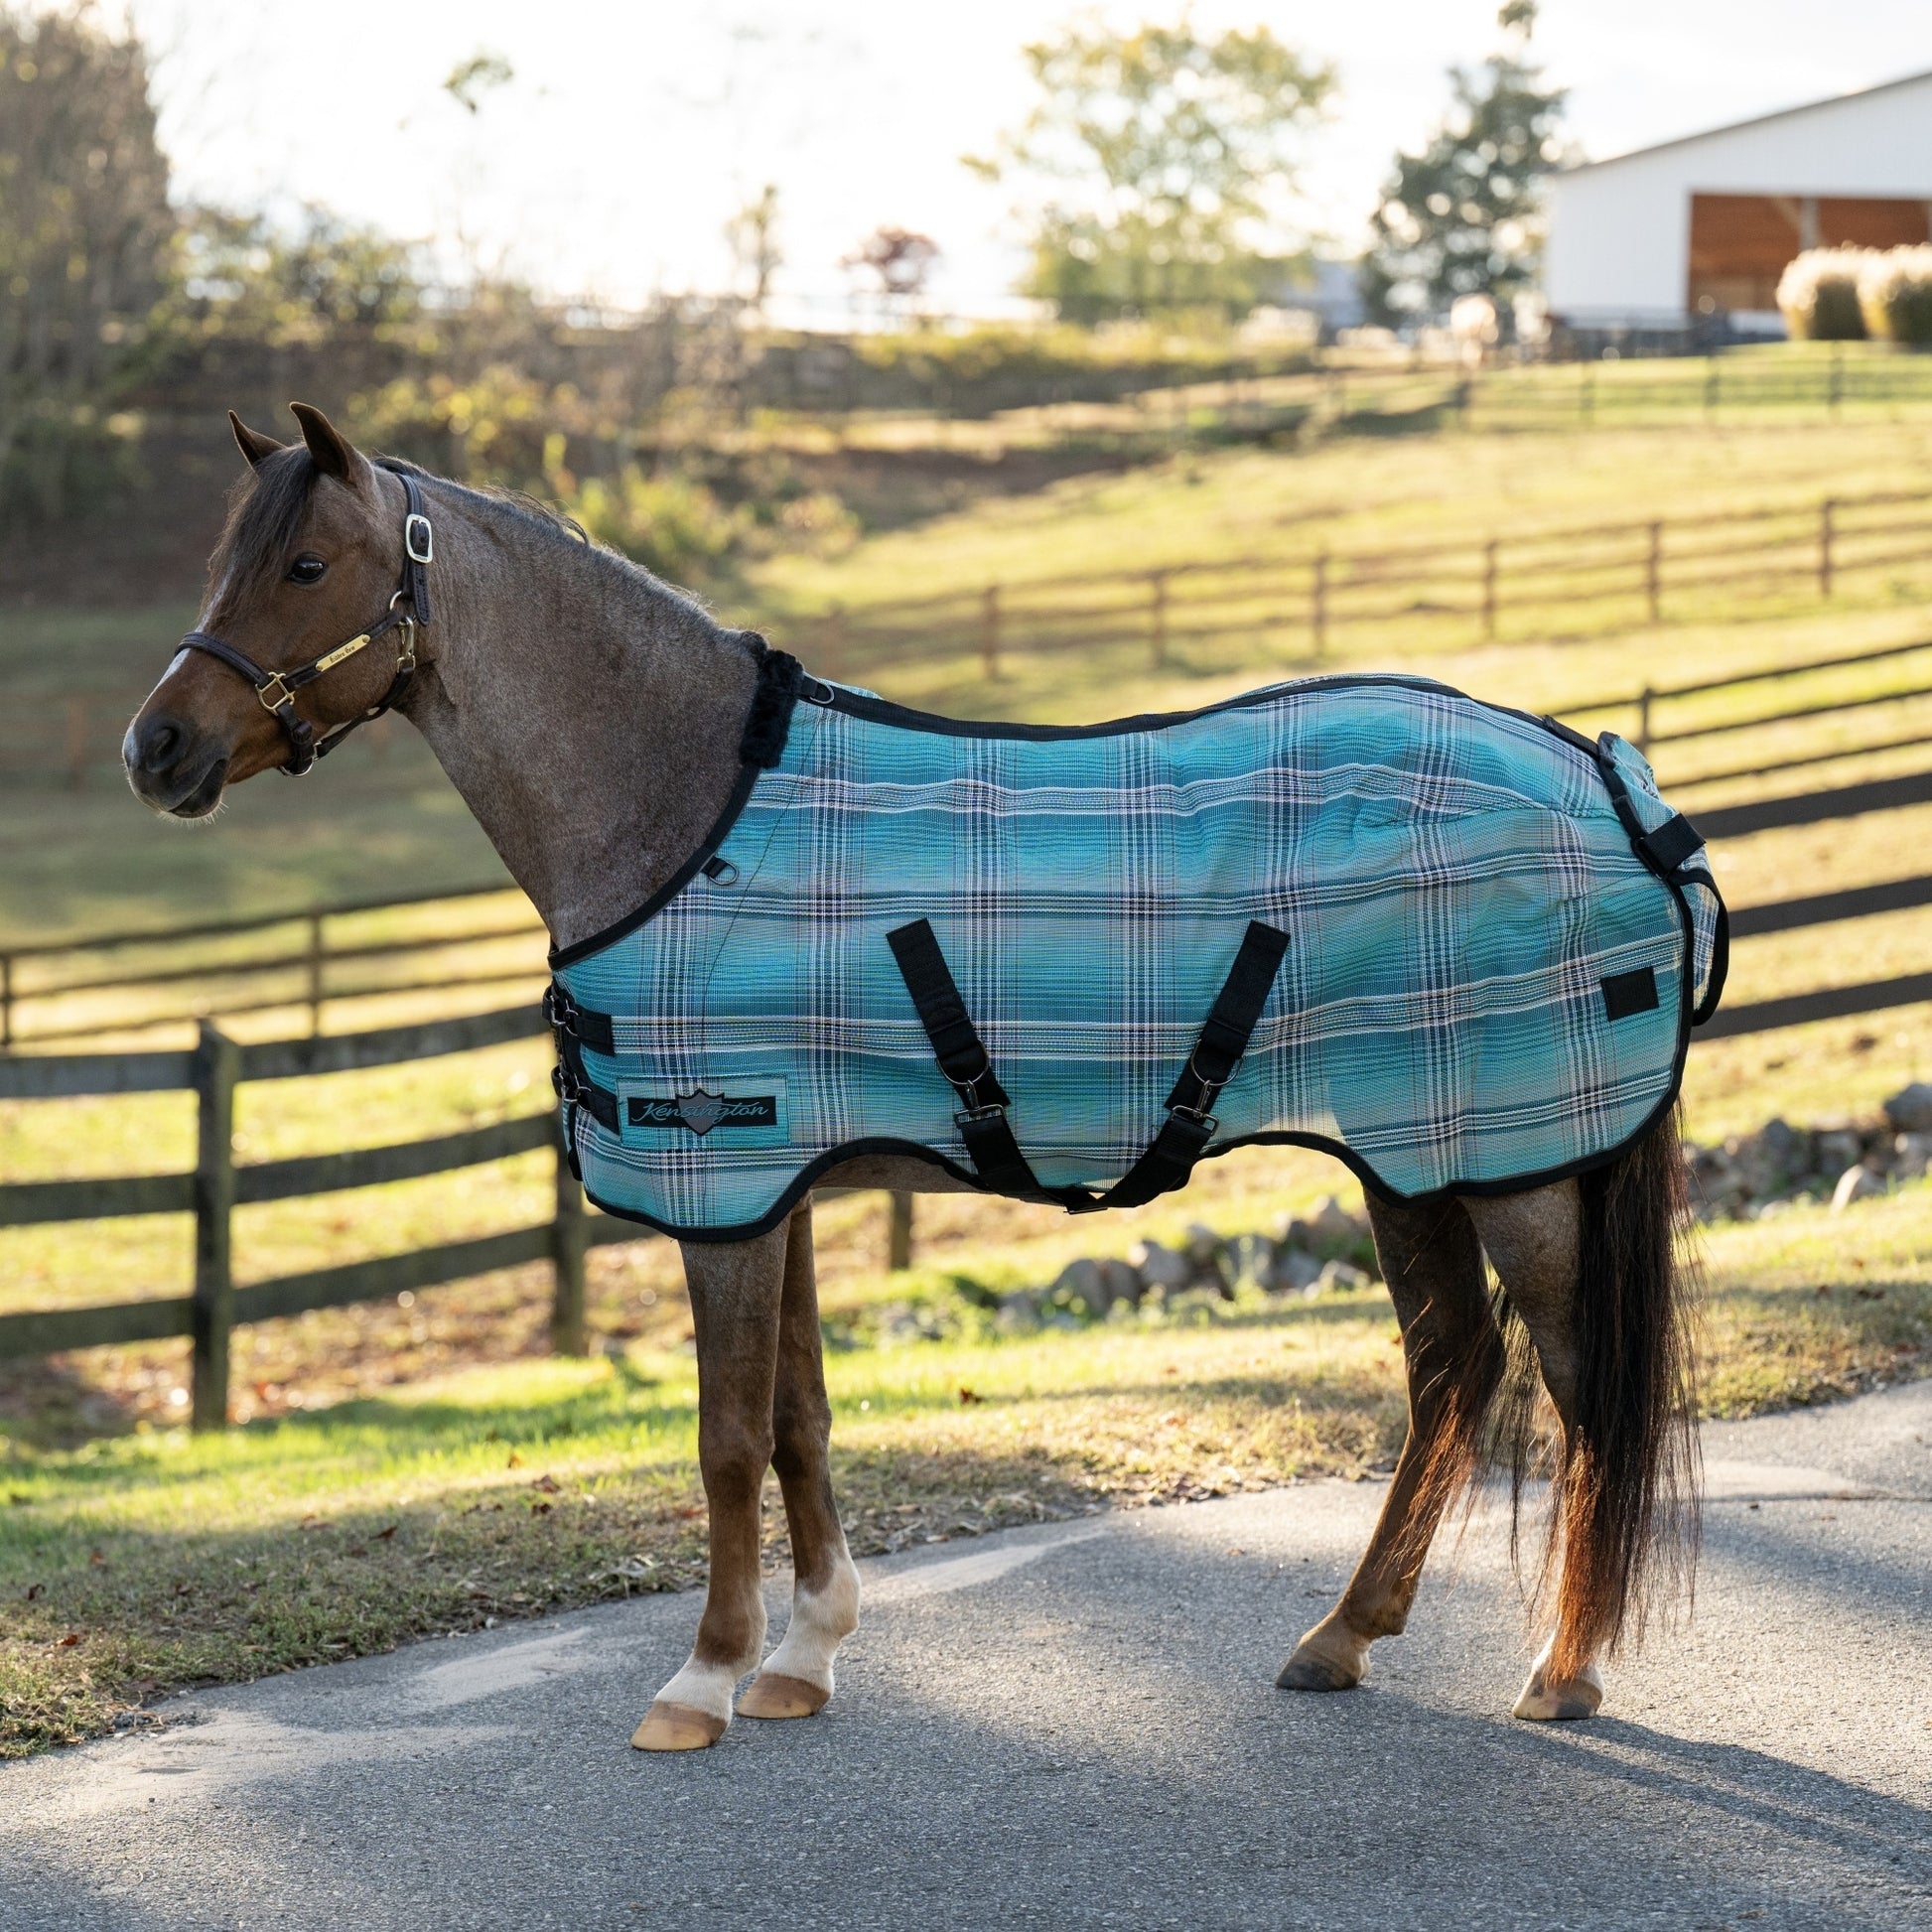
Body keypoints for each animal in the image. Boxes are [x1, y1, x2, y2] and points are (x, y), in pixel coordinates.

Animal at [124, 403, 1705, 1749]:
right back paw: (1342, 1634)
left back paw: (1559, 1668)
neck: (683, 806)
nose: (157, 746)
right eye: (225, 558)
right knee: (1453, 1369)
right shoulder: (782, 1186)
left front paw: (700, 1678)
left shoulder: (725, 1186)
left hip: (1514, 1169)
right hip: (1412, 1160)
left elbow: (723, 1438)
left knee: (1575, 1383)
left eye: (307, 563)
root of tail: (1611, 781)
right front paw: (803, 1655)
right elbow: (799, 1421)